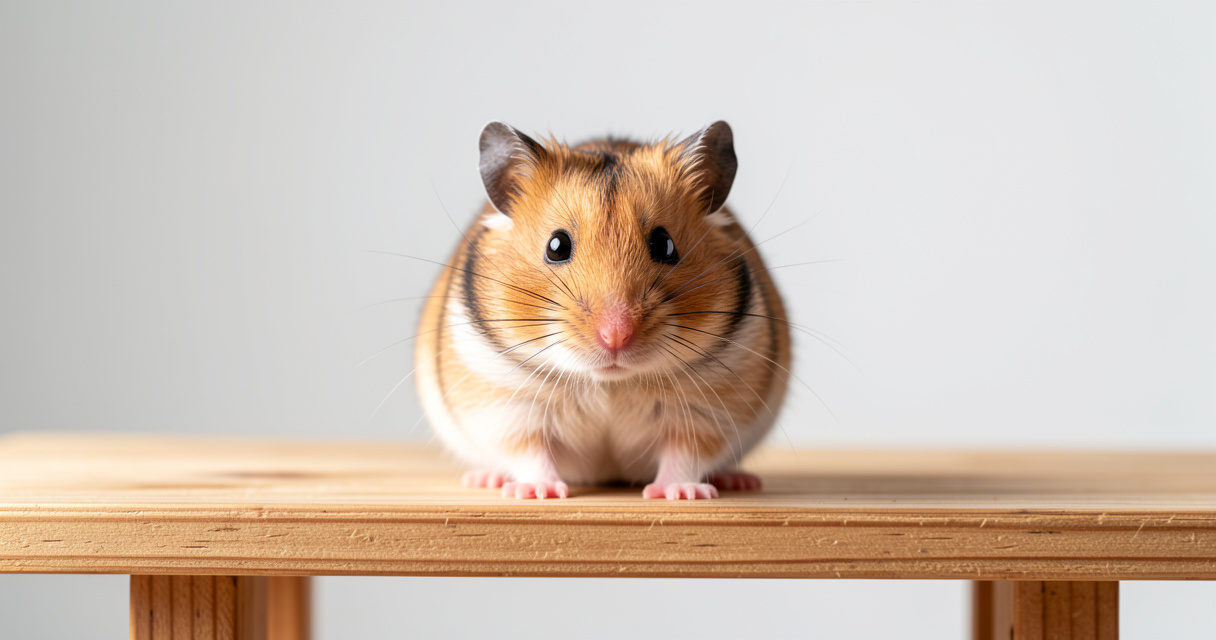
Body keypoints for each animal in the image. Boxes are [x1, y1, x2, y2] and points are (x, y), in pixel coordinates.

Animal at [414, 121, 790, 500]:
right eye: (556, 245)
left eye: (665, 244)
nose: (616, 336)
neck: (609, 383)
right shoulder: (506, 407)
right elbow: (529, 452)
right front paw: (538, 492)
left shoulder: (707, 412)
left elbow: (685, 454)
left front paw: (681, 493)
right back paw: (487, 479)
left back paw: (739, 480)